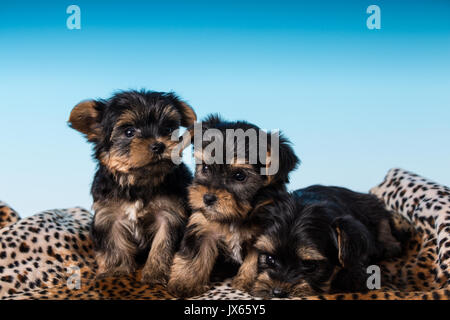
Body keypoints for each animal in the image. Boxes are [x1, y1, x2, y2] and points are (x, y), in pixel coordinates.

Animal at [69, 89, 196, 284]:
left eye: (168, 130)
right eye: (129, 132)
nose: (159, 145)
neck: (138, 181)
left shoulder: (169, 213)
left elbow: (163, 244)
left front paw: (155, 274)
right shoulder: (109, 214)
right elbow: (113, 244)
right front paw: (115, 271)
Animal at [167, 115, 300, 298]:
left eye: (239, 176)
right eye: (206, 167)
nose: (207, 198)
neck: (236, 215)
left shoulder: (264, 233)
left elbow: (255, 259)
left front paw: (248, 282)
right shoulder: (202, 225)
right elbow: (194, 254)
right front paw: (185, 283)